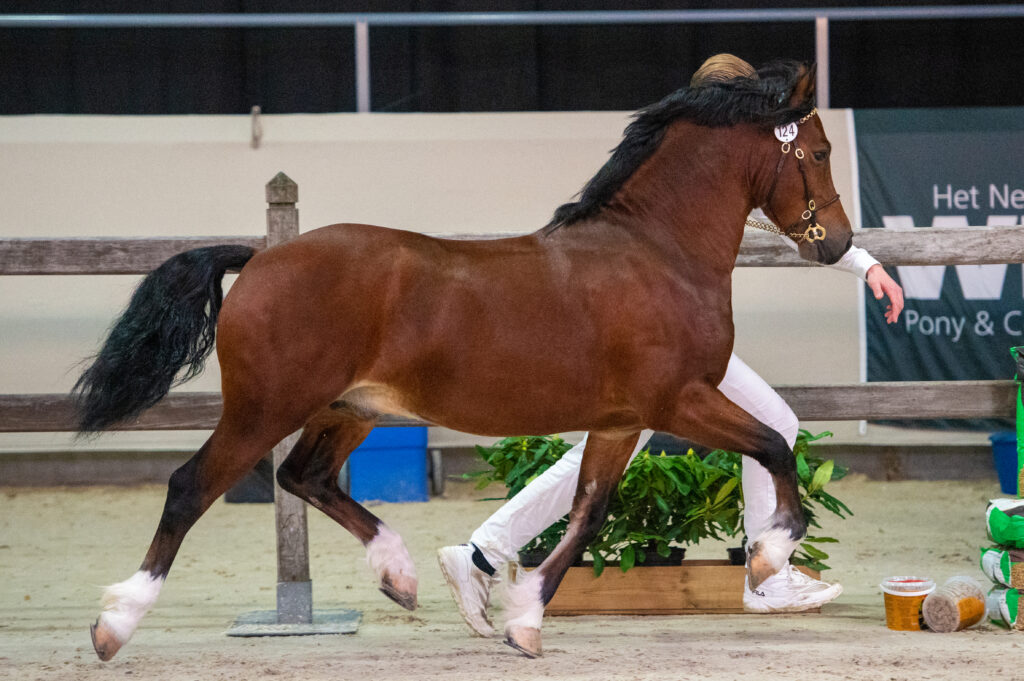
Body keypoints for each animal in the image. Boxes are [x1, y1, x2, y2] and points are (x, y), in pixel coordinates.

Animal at [75, 60, 853, 660]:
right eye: (817, 152)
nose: (840, 243)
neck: (656, 251)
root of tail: (262, 257)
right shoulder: (679, 400)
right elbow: (775, 446)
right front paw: (770, 555)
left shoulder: (620, 421)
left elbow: (587, 516)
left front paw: (524, 621)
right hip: (265, 407)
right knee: (191, 486)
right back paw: (114, 624)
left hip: (347, 408)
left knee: (305, 476)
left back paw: (402, 573)